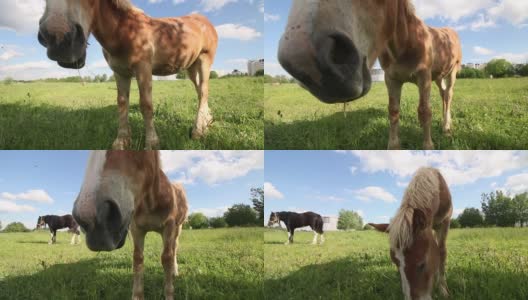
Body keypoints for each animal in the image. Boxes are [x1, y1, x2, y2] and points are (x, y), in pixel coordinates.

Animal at [37, 0, 217, 150]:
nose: (59, 39)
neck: (124, 32)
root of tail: (205, 22)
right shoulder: (120, 72)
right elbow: (122, 103)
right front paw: (122, 141)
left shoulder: (143, 69)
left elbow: (146, 105)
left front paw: (151, 143)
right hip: (191, 67)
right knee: (200, 91)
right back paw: (206, 121)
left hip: (204, 60)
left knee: (203, 91)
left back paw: (197, 131)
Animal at [71, 151, 189, 298]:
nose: (91, 219)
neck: (150, 202)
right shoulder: (136, 229)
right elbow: (138, 259)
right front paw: (137, 295)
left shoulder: (169, 226)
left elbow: (167, 258)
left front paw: (169, 293)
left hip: (178, 228)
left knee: (174, 249)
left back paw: (175, 271)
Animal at [280, 0, 462, 150]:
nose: (306, 63)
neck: (407, 42)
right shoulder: (391, 79)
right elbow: (393, 111)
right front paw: (393, 147)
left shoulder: (423, 76)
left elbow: (424, 111)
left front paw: (428, 146)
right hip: (438, 77)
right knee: (444, 95)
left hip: (451, 74)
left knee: (449, 95)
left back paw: (446, 127)